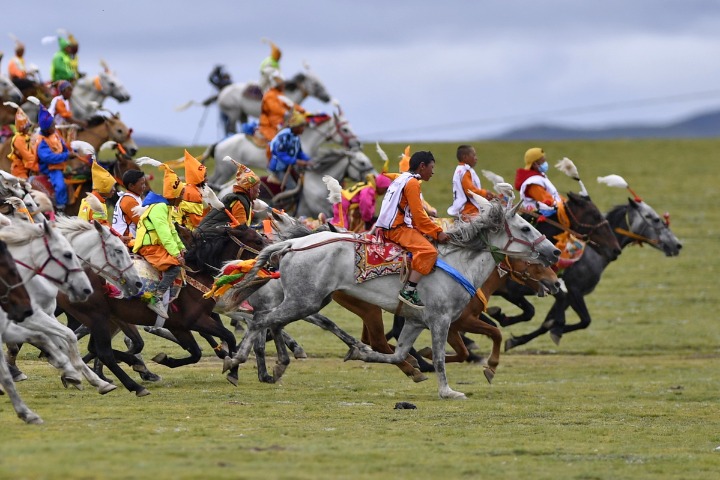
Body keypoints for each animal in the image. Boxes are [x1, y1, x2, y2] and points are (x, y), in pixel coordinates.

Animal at [222, 199, 560, 398]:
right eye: (525, 227)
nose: (555, 252)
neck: (460, 263)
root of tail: (293, 244)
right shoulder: (442, 321)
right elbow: (440, 357)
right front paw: (448, 390)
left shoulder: (415, 321)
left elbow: (397, 355)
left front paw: (363, 355)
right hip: (305, 301)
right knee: (262, 321)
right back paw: (238, 361)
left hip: (306, 301)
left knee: (269, 322)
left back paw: (265, 364)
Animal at [498, 197, 684, 350]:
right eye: (655, 218)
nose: (677, 245)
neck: (591, 253)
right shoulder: (573, 290)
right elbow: (581, 320)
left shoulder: (566, 294)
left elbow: (553, 322)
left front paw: (518, 338)